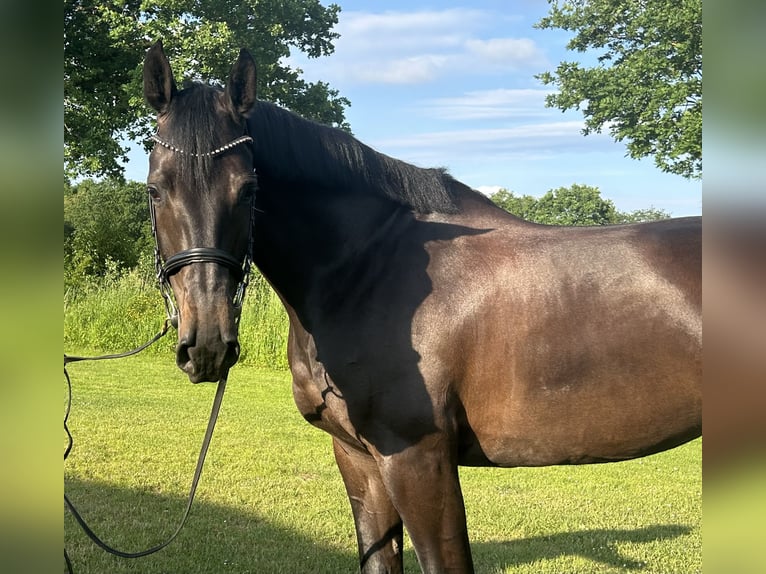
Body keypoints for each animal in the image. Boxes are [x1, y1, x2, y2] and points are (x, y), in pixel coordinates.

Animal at [141, 40, 700, 574]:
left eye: (249, 189)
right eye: (155, 190)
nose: (208, 345)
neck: (367, 271)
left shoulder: (418, 460)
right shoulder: (359, 458)